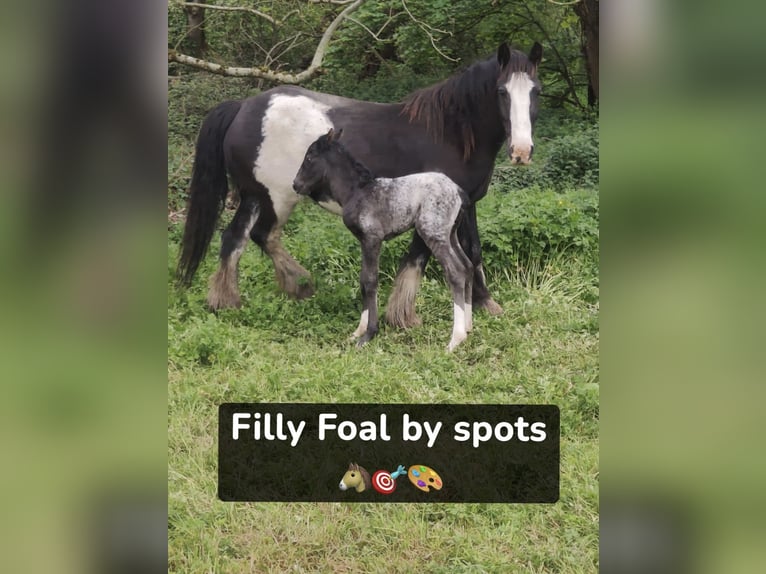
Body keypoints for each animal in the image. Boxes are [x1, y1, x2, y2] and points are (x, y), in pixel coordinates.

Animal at [177, 41, 544, 328]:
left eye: (536, 91)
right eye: (501, 91)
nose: (521, 151)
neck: (450, 133)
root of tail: (243, 108)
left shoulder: (466, 204)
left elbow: (473, 250)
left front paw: (484, 303)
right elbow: (419, 257)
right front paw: (402, 314)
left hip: (254, 196)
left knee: (236, 238)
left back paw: (232, 299)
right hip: (276, 197)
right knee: (261, 236)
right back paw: (295, 286)